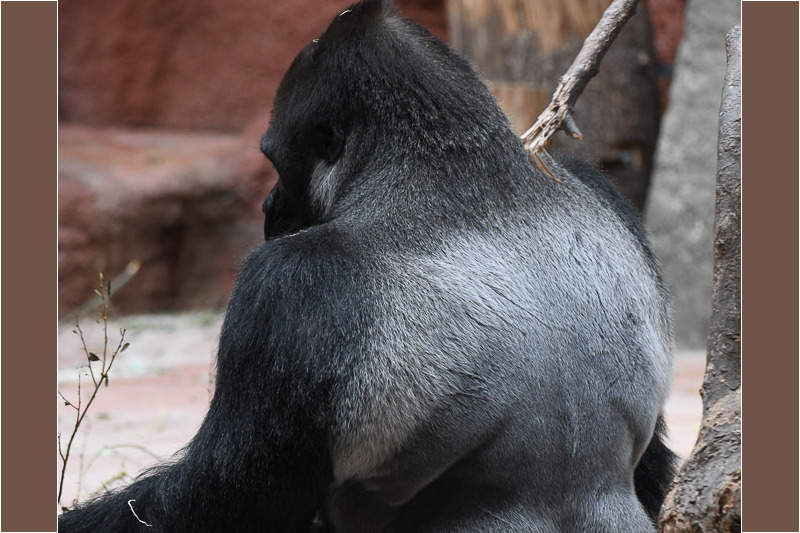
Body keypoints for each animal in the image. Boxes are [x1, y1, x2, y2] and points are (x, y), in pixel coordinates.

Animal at [59, 1, 676, 531]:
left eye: (274, 160)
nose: (268, 208)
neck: (456, 171)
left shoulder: (285, 282)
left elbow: (226, 498)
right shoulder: (598, 184)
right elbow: (652, 463)